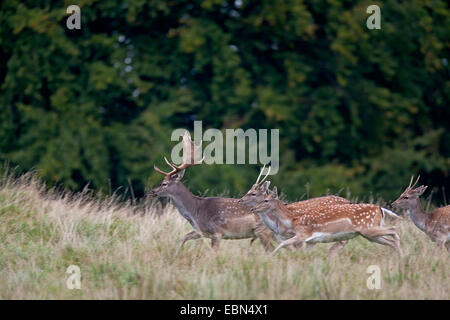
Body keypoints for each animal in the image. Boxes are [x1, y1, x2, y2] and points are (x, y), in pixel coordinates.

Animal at [251, 186, 402, 256]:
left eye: (266, 200)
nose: (253, 208)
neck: (293, 221)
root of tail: (380, 208)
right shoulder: (312, 241)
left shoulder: (303, 234)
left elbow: (283, 243)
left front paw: (270, 257)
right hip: (370, 234)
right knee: (390, 240)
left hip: (368, 229)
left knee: (393, 230)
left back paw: (402, 253)